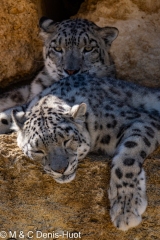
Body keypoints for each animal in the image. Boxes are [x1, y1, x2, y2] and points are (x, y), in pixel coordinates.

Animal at [10, 72, 160, 231]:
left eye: (67, 140)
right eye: (38, 150)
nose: (60, 169)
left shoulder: (143, 119)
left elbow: (127, 158)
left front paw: (125, 209)